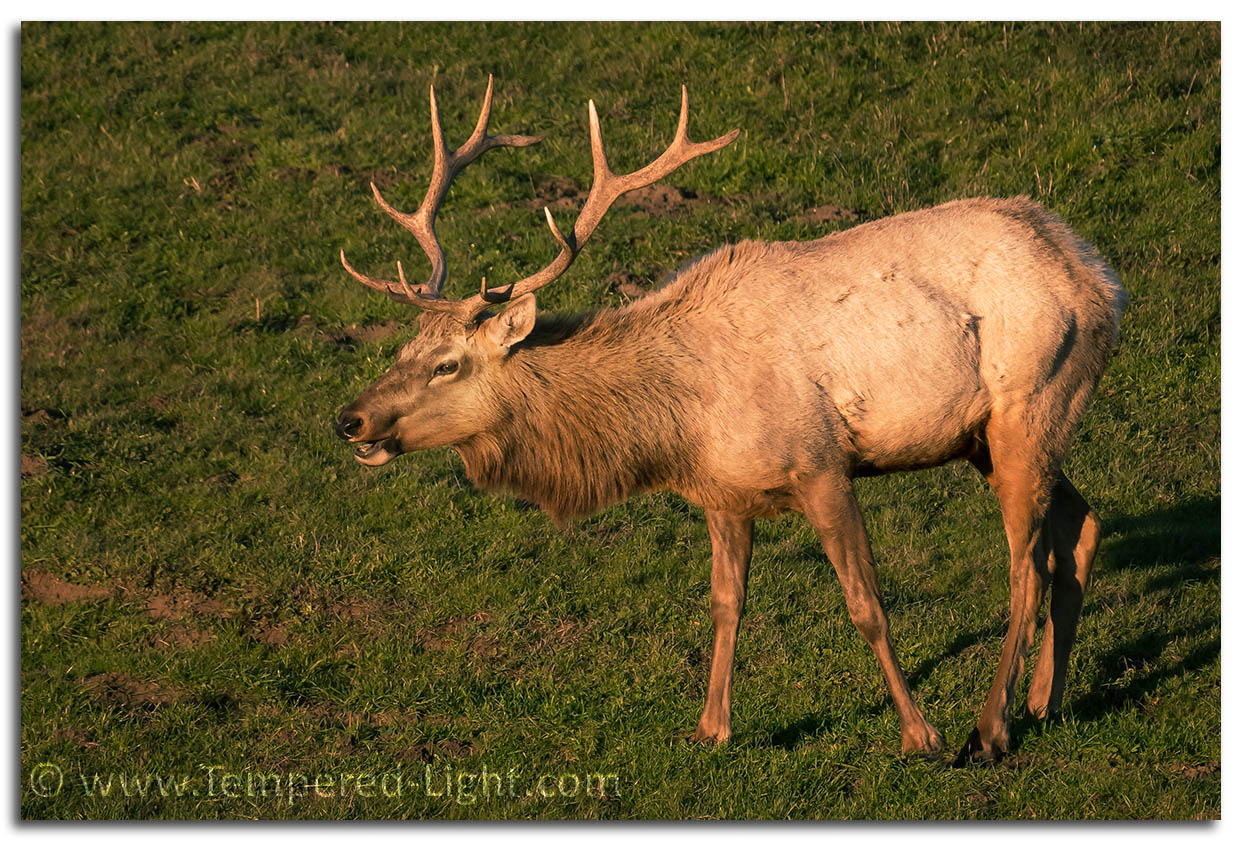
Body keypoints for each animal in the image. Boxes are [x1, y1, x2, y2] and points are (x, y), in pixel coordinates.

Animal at [332, 77, 1127, 764]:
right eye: (403, 348)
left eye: (448, 364)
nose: (349, 418)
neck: (679, 422)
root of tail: (1102, 276)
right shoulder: (723, 489)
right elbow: (725, 602)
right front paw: (711, 729)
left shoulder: (821, 463)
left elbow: (866, 603)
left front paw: (918, 733)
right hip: (992, 435)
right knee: (1081, 525)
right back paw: (1045, 702)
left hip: (1031, 401)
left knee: (1026, 565)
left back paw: (988, 730)